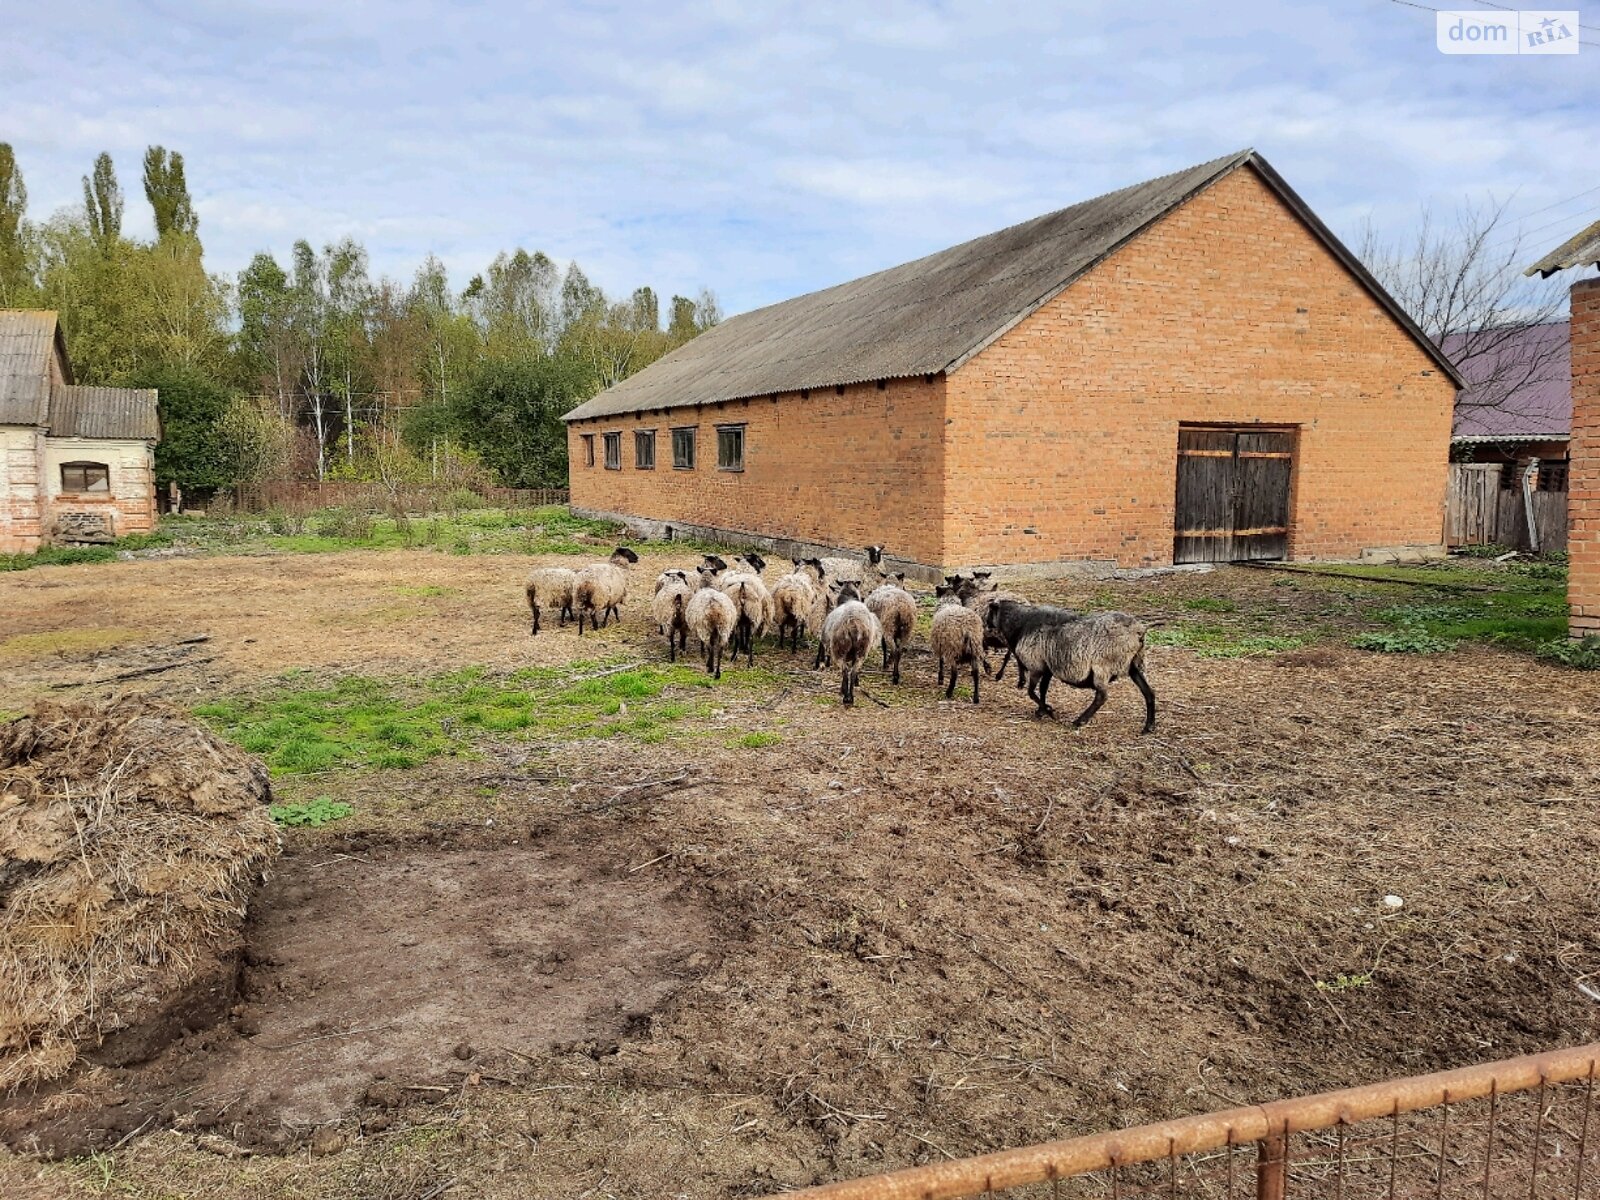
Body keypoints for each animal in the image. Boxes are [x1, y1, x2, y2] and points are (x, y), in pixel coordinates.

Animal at [1017, 611, 1158, 732]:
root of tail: (1139, 631)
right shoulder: (1047, 668)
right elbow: (1042, 689)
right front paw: (1043, 710)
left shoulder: (1037, 666)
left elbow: (1032, 691)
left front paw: (1047, 711)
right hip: (1135, 663)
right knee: (1148, 692)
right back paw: (1149, 727)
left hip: (1103, 665)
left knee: (1102, 696)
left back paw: (1079, 721)